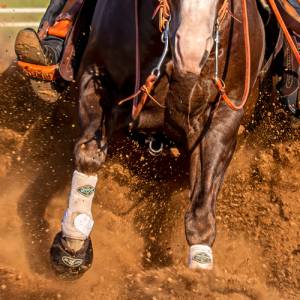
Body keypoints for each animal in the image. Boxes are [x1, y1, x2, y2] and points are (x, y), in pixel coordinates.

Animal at [49, 0, 264, 278]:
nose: (191, 51)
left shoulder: (224, 115)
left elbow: (202, 207)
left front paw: (199, 276)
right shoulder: (96, 77)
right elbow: (89, 155)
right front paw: (72, 245)